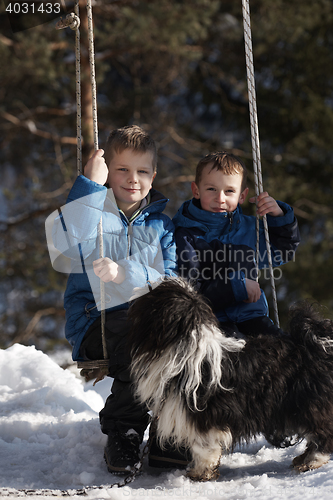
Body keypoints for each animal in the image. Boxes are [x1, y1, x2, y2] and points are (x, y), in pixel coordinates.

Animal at [127, 278, 333, 480]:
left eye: (153, 293)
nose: (141, 286)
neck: (188, 350)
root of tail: (317, 344)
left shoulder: (205, 415)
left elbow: (203, 447)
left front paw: (200, 473)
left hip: (309, 404)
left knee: (322, 432)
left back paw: (312, 460)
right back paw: (303, 458)